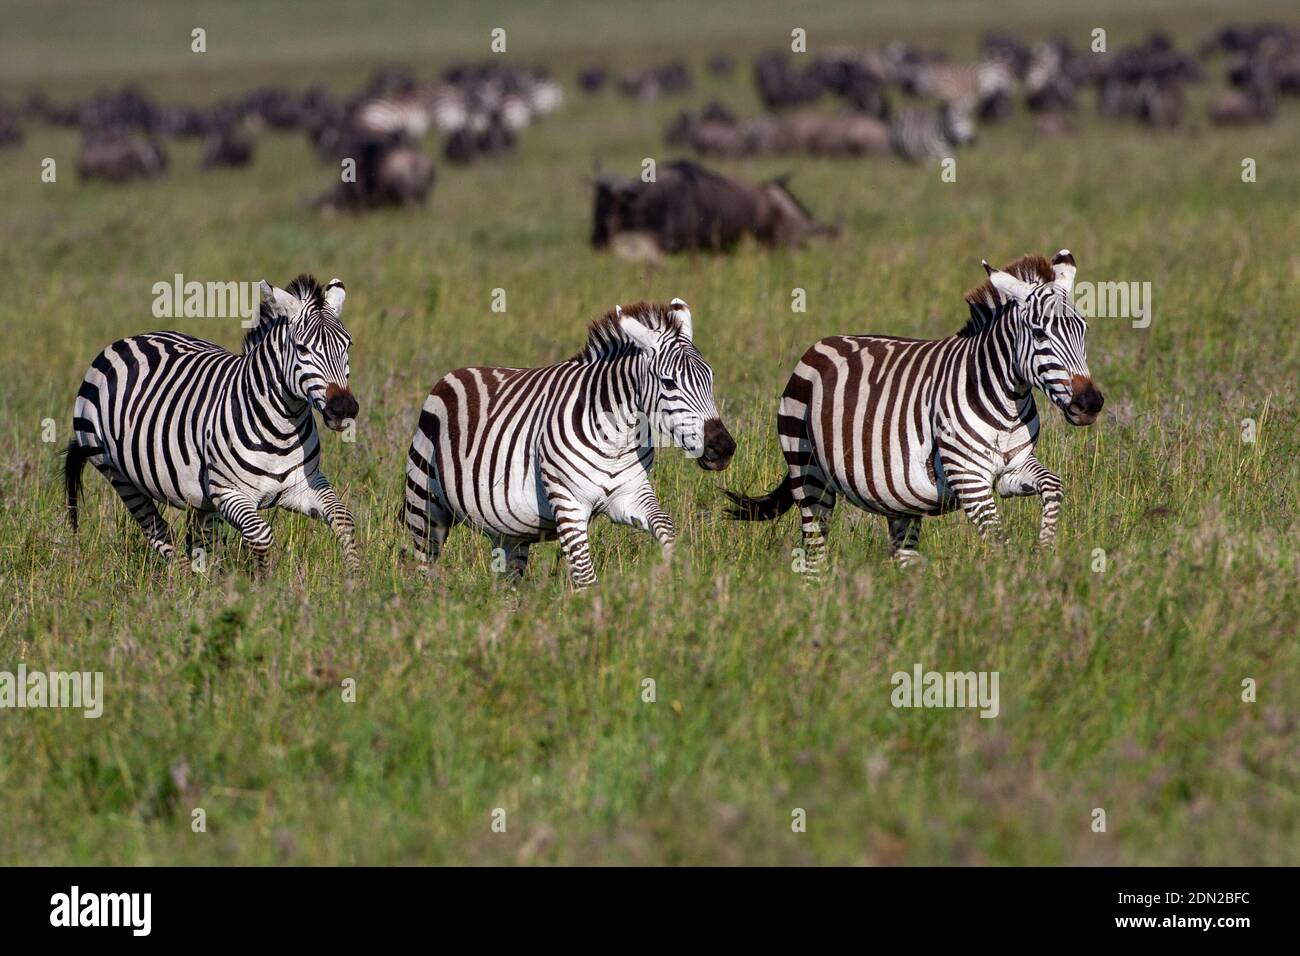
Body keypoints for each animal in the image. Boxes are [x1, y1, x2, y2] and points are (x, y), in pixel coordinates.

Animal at [64, 277, 361, 574]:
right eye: (302, 349)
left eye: (348, 345)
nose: (344, 409)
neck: (282, 431)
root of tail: (133, 338)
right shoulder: (228, 491)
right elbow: (261, 535)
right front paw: (264, 583)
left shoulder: (303, 485)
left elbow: (344, 518)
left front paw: (354, 578)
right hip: (116, 473)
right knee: (159, 532)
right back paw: (182, 582)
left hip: (200, 497)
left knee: (200, 540)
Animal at [400, 299, 738, 587]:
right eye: (668, 383)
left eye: (710, 377)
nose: (723, 449)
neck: (616, 438)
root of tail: (456, 373)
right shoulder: (568, 501)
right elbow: (585, 576)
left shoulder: (629, 494)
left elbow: (666, 527)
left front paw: (669, 578)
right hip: (425, 508)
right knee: (423, 567)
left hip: (507, 531)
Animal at [728, 251, 1102, 572]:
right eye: (1039, 334)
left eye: (1083, 330)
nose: (1090, 404)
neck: (1006, 403)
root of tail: (820, 345)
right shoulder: (969, 478)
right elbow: (1000, 542)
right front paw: (1017, 581)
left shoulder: (1012, 471)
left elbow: (1054, 485)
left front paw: (1045, 549)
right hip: (808, 475)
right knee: (814, 555)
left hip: (896, 498)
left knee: (903, 556)